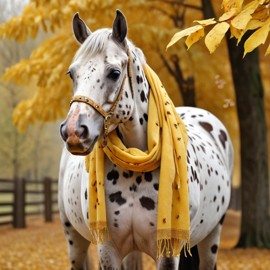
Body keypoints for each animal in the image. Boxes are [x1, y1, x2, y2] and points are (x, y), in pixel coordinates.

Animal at [59, 10, 234, 270]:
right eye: (72, 73)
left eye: (114, 73)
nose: (73, 131)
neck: (135, 166)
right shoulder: (107, 249)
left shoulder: (168, 250)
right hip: (74, 238)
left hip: (211, 236)